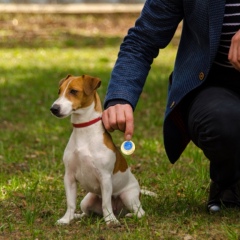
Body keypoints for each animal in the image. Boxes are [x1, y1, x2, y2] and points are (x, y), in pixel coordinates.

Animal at [50, 74, 145, 225]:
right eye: (59, 91)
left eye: (73, 91)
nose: (53, 108)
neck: (84, 132)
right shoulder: (69, 176)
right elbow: (70, 203)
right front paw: (66, 219)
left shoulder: (105, 178)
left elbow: (106, 203)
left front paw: (110, 221)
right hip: (87, 200)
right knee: (86, 212)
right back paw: (77, 216)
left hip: (128, 196)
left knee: (140, 212)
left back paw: (128, 215)